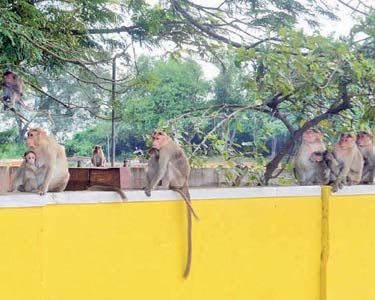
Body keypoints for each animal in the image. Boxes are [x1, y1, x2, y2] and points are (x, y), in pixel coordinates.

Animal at [144, 131, 198, 278]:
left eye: (157, 138)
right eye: (153, 137)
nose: (153, 142)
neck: (166, 142)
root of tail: (185, 182)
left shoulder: (165, 150)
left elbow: (162, 168)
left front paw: (150, 188)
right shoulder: (158, 150)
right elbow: (154, 161)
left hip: (177, 178)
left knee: (167, 166)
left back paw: (164, 187)